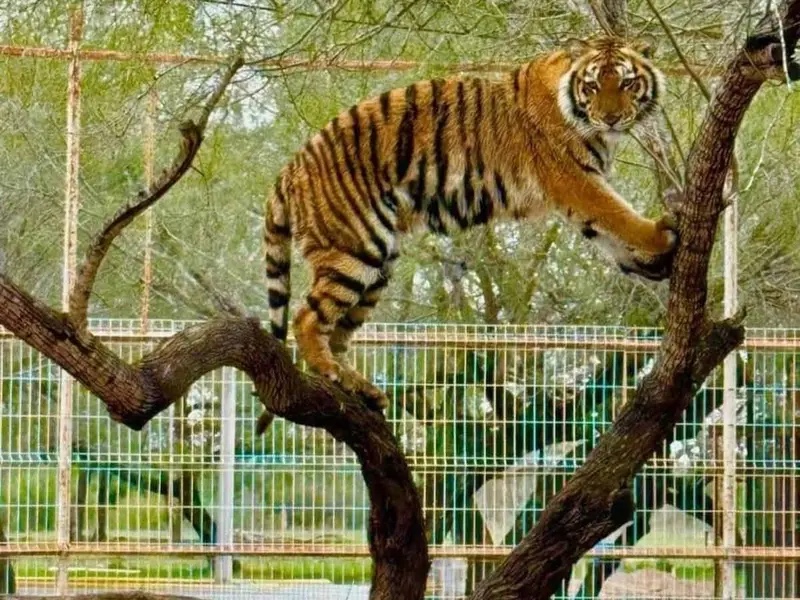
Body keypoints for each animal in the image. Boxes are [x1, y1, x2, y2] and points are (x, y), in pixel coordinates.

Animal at [263, 35, 677, 408]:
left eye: (627, 83)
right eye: (592, 86)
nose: (610, 118)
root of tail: (290, 167)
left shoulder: (576, 195)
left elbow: (606, 232)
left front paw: (649, 262)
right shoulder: (573, 179)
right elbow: (617, 213)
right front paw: (661, 236)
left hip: (378, 264)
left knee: (337, 333)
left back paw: (358, 386)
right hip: (355, 248)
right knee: (306, 318)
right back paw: (330, 372)